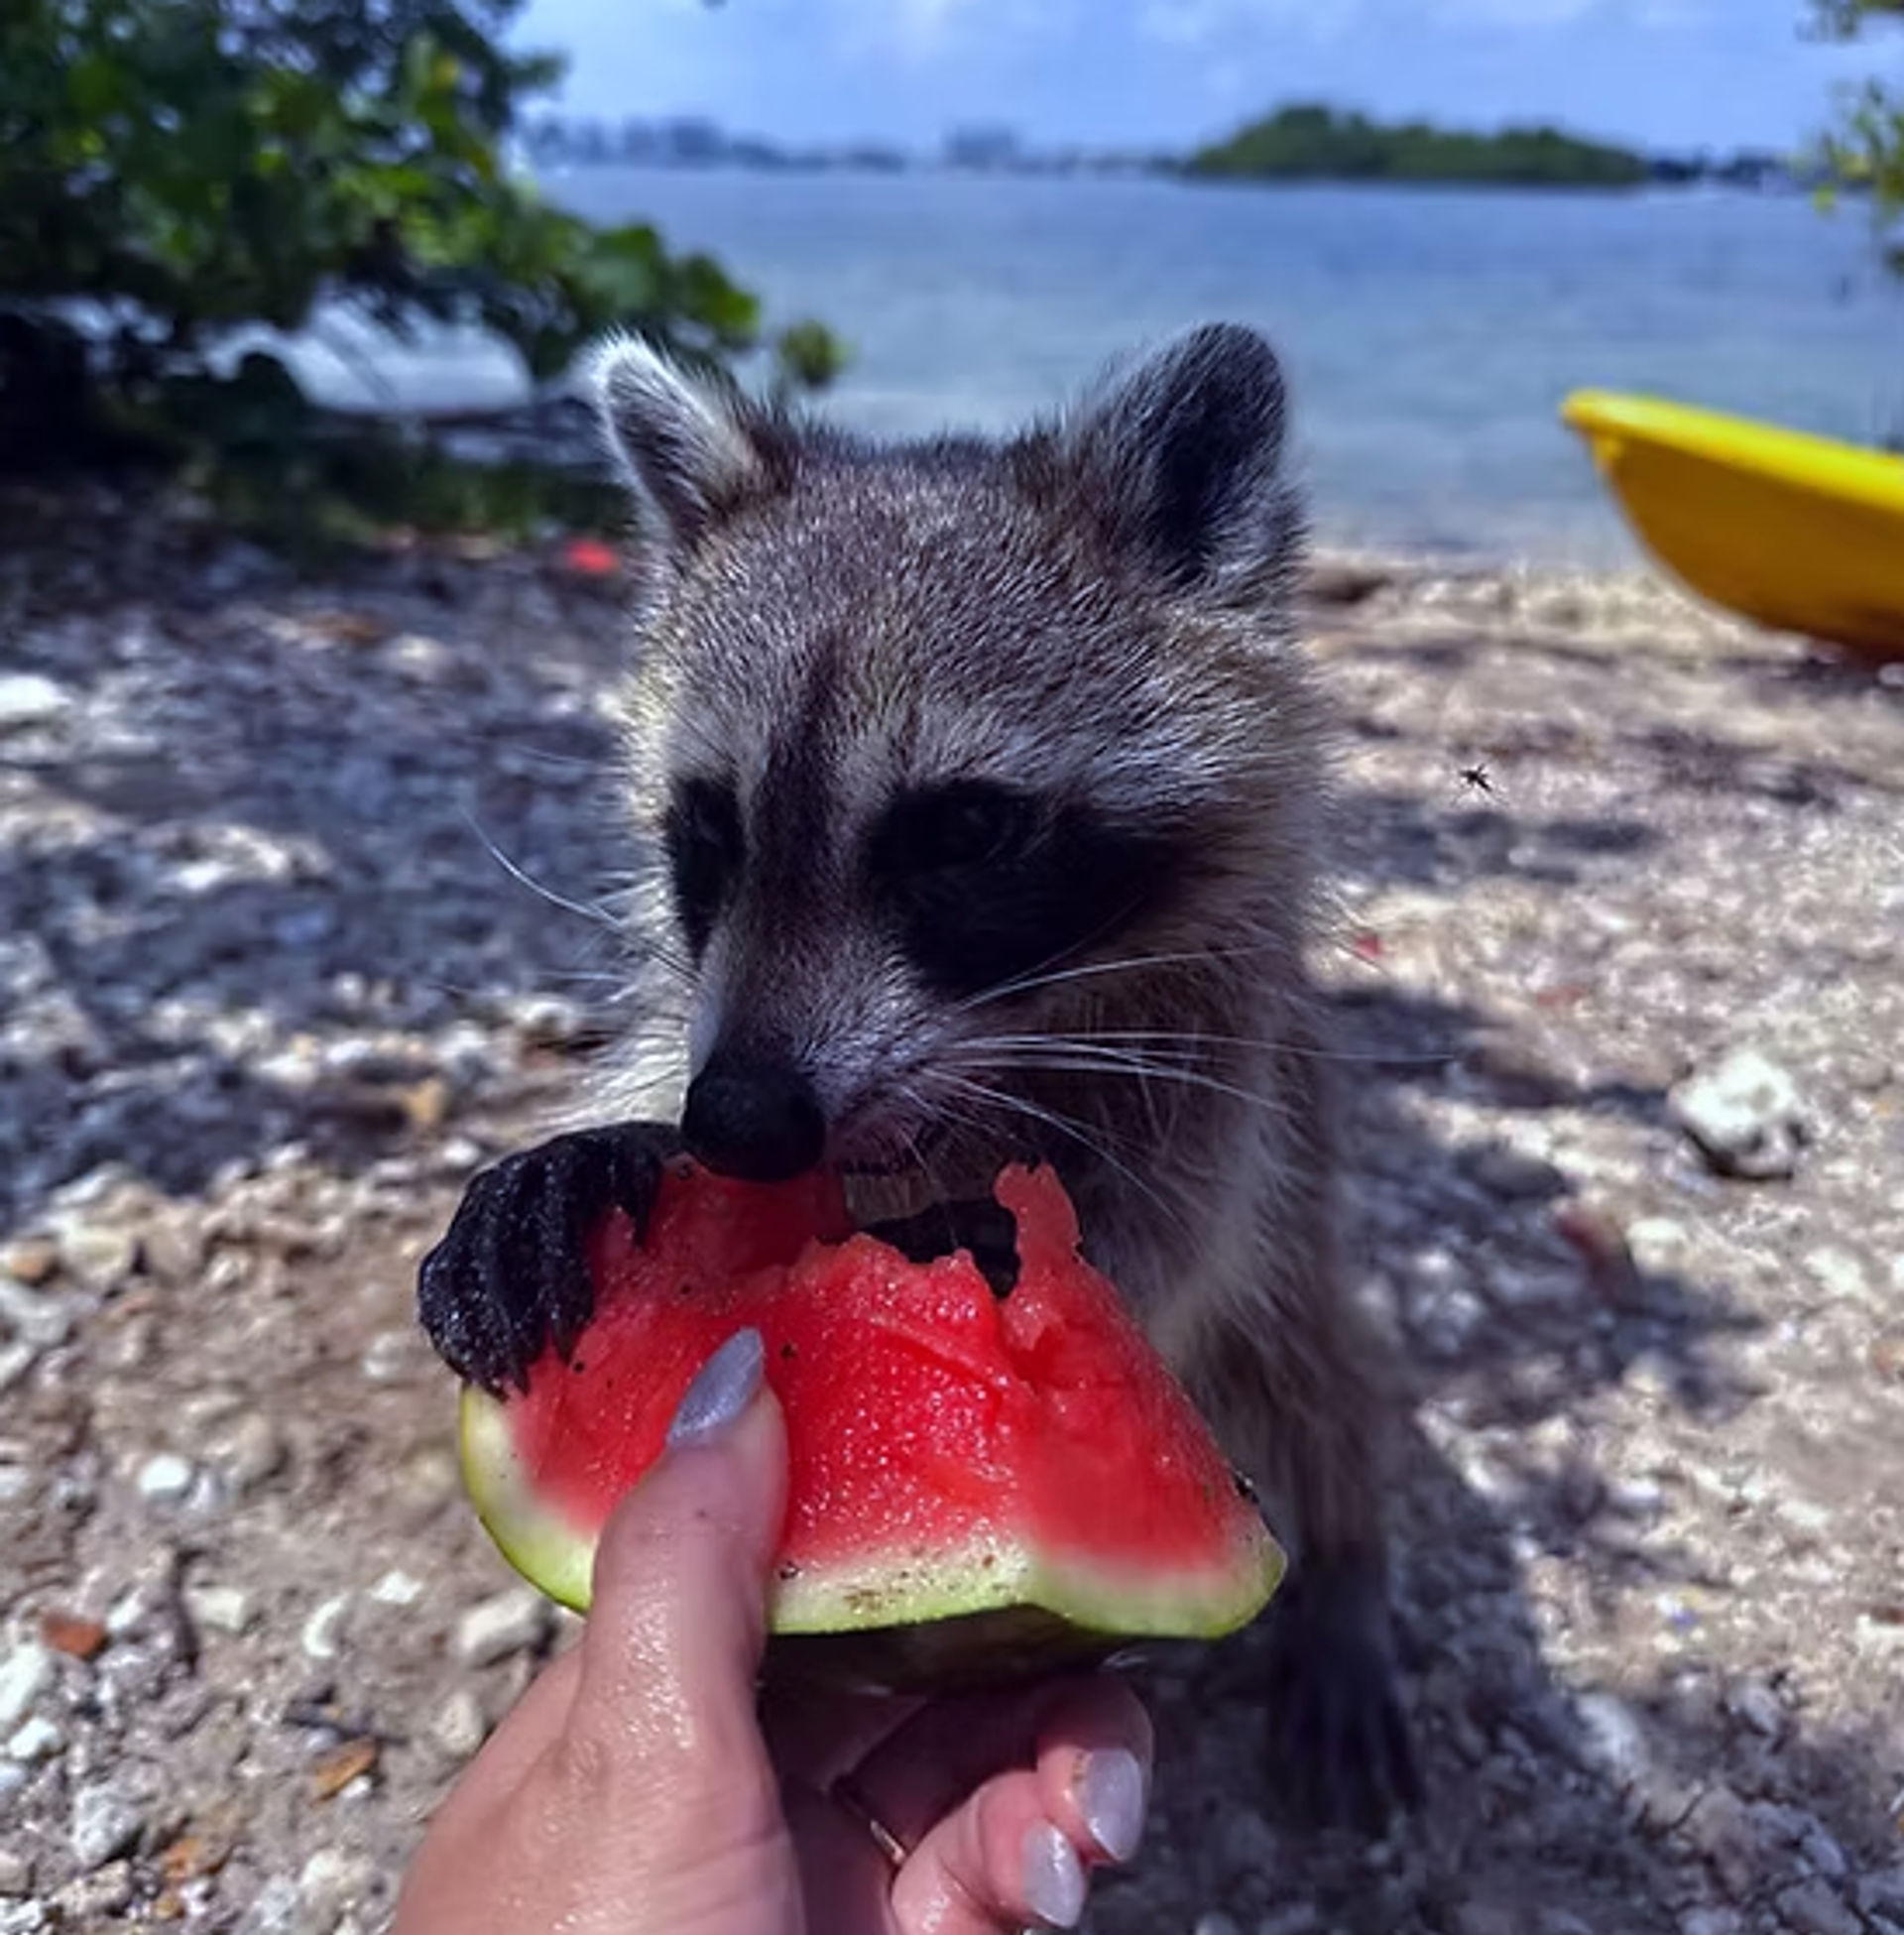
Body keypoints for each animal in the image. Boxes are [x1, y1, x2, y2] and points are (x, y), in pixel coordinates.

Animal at [419, 323, 1418, 1830]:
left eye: (960, 833)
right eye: (710, 828)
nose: (742, 1121)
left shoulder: (1229, 1040)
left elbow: (1173, 1220)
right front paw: (621, 1147)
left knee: (1313, 1364)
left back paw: (1351, 1563)